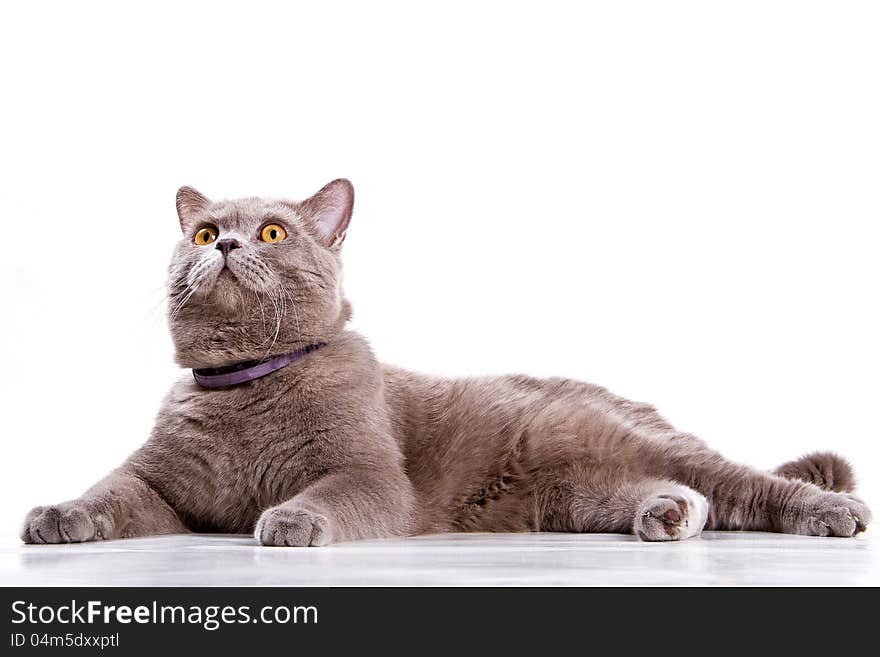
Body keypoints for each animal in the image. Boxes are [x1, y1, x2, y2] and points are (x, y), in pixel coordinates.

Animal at [18, 178, 868, 544]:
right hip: (571, 496)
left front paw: (289, 518)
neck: (247, 387)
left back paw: (833, 512)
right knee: (686, 493)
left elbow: (331, 492)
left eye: (272, 232)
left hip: (631, 441)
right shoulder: (160, 484)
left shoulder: (368, 474)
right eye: (201, 233)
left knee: (746, 483)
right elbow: (110, 489)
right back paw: (668, 515)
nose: (223, 242)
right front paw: (56, 514)